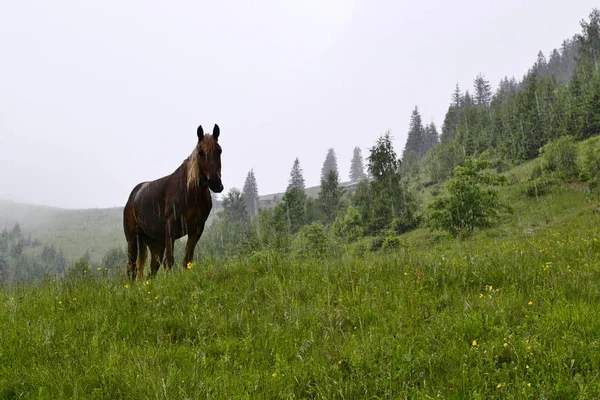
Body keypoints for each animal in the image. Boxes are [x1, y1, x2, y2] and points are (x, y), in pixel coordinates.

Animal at [123, 123, 224, 280]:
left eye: (219, 150)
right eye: (200, 152)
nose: (216, 184)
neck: (190, 192)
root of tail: (132, 197)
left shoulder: (196, 229)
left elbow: (187, 260)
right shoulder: (171, 229)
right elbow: (169, 261)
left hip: (156, 243)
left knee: (151, 271)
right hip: (132, 239)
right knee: (131, 268)